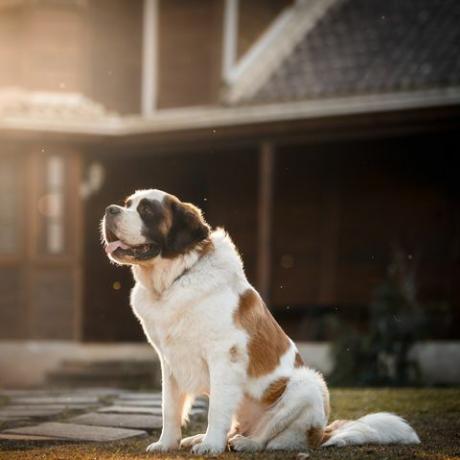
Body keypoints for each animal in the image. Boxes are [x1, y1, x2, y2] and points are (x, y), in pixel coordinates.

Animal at [101, 189, 420, 454]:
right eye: (128, 203)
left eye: (147, 210)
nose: (109, 209)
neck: (174, 281)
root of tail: (322, 432)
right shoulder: (169, 362)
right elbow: (169, 407)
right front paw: (166, 444)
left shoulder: (225, 356)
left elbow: (216, 408)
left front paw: (211, 446)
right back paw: (206, 437)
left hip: (307, 384)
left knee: (276, 438)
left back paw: (245, 443)